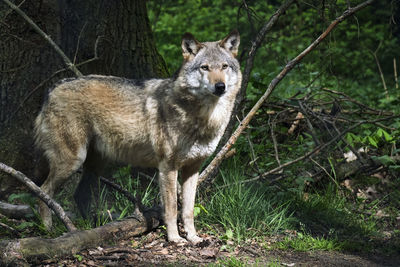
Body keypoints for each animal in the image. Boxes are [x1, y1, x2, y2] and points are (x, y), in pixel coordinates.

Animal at [34, 30, 241, 244]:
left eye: (224, 66)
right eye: (205, 67)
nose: (220, 86)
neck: (202, 117)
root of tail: (53, 88)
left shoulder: (193, 169)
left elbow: (188, 210)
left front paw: (194, 237)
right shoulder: (167, 168)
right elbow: (172, 209)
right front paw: (175, 238)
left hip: (95, 165)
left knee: (79, 196)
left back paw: (88, 230)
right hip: (73, 162)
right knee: (42, 192)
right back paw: (49, 230)